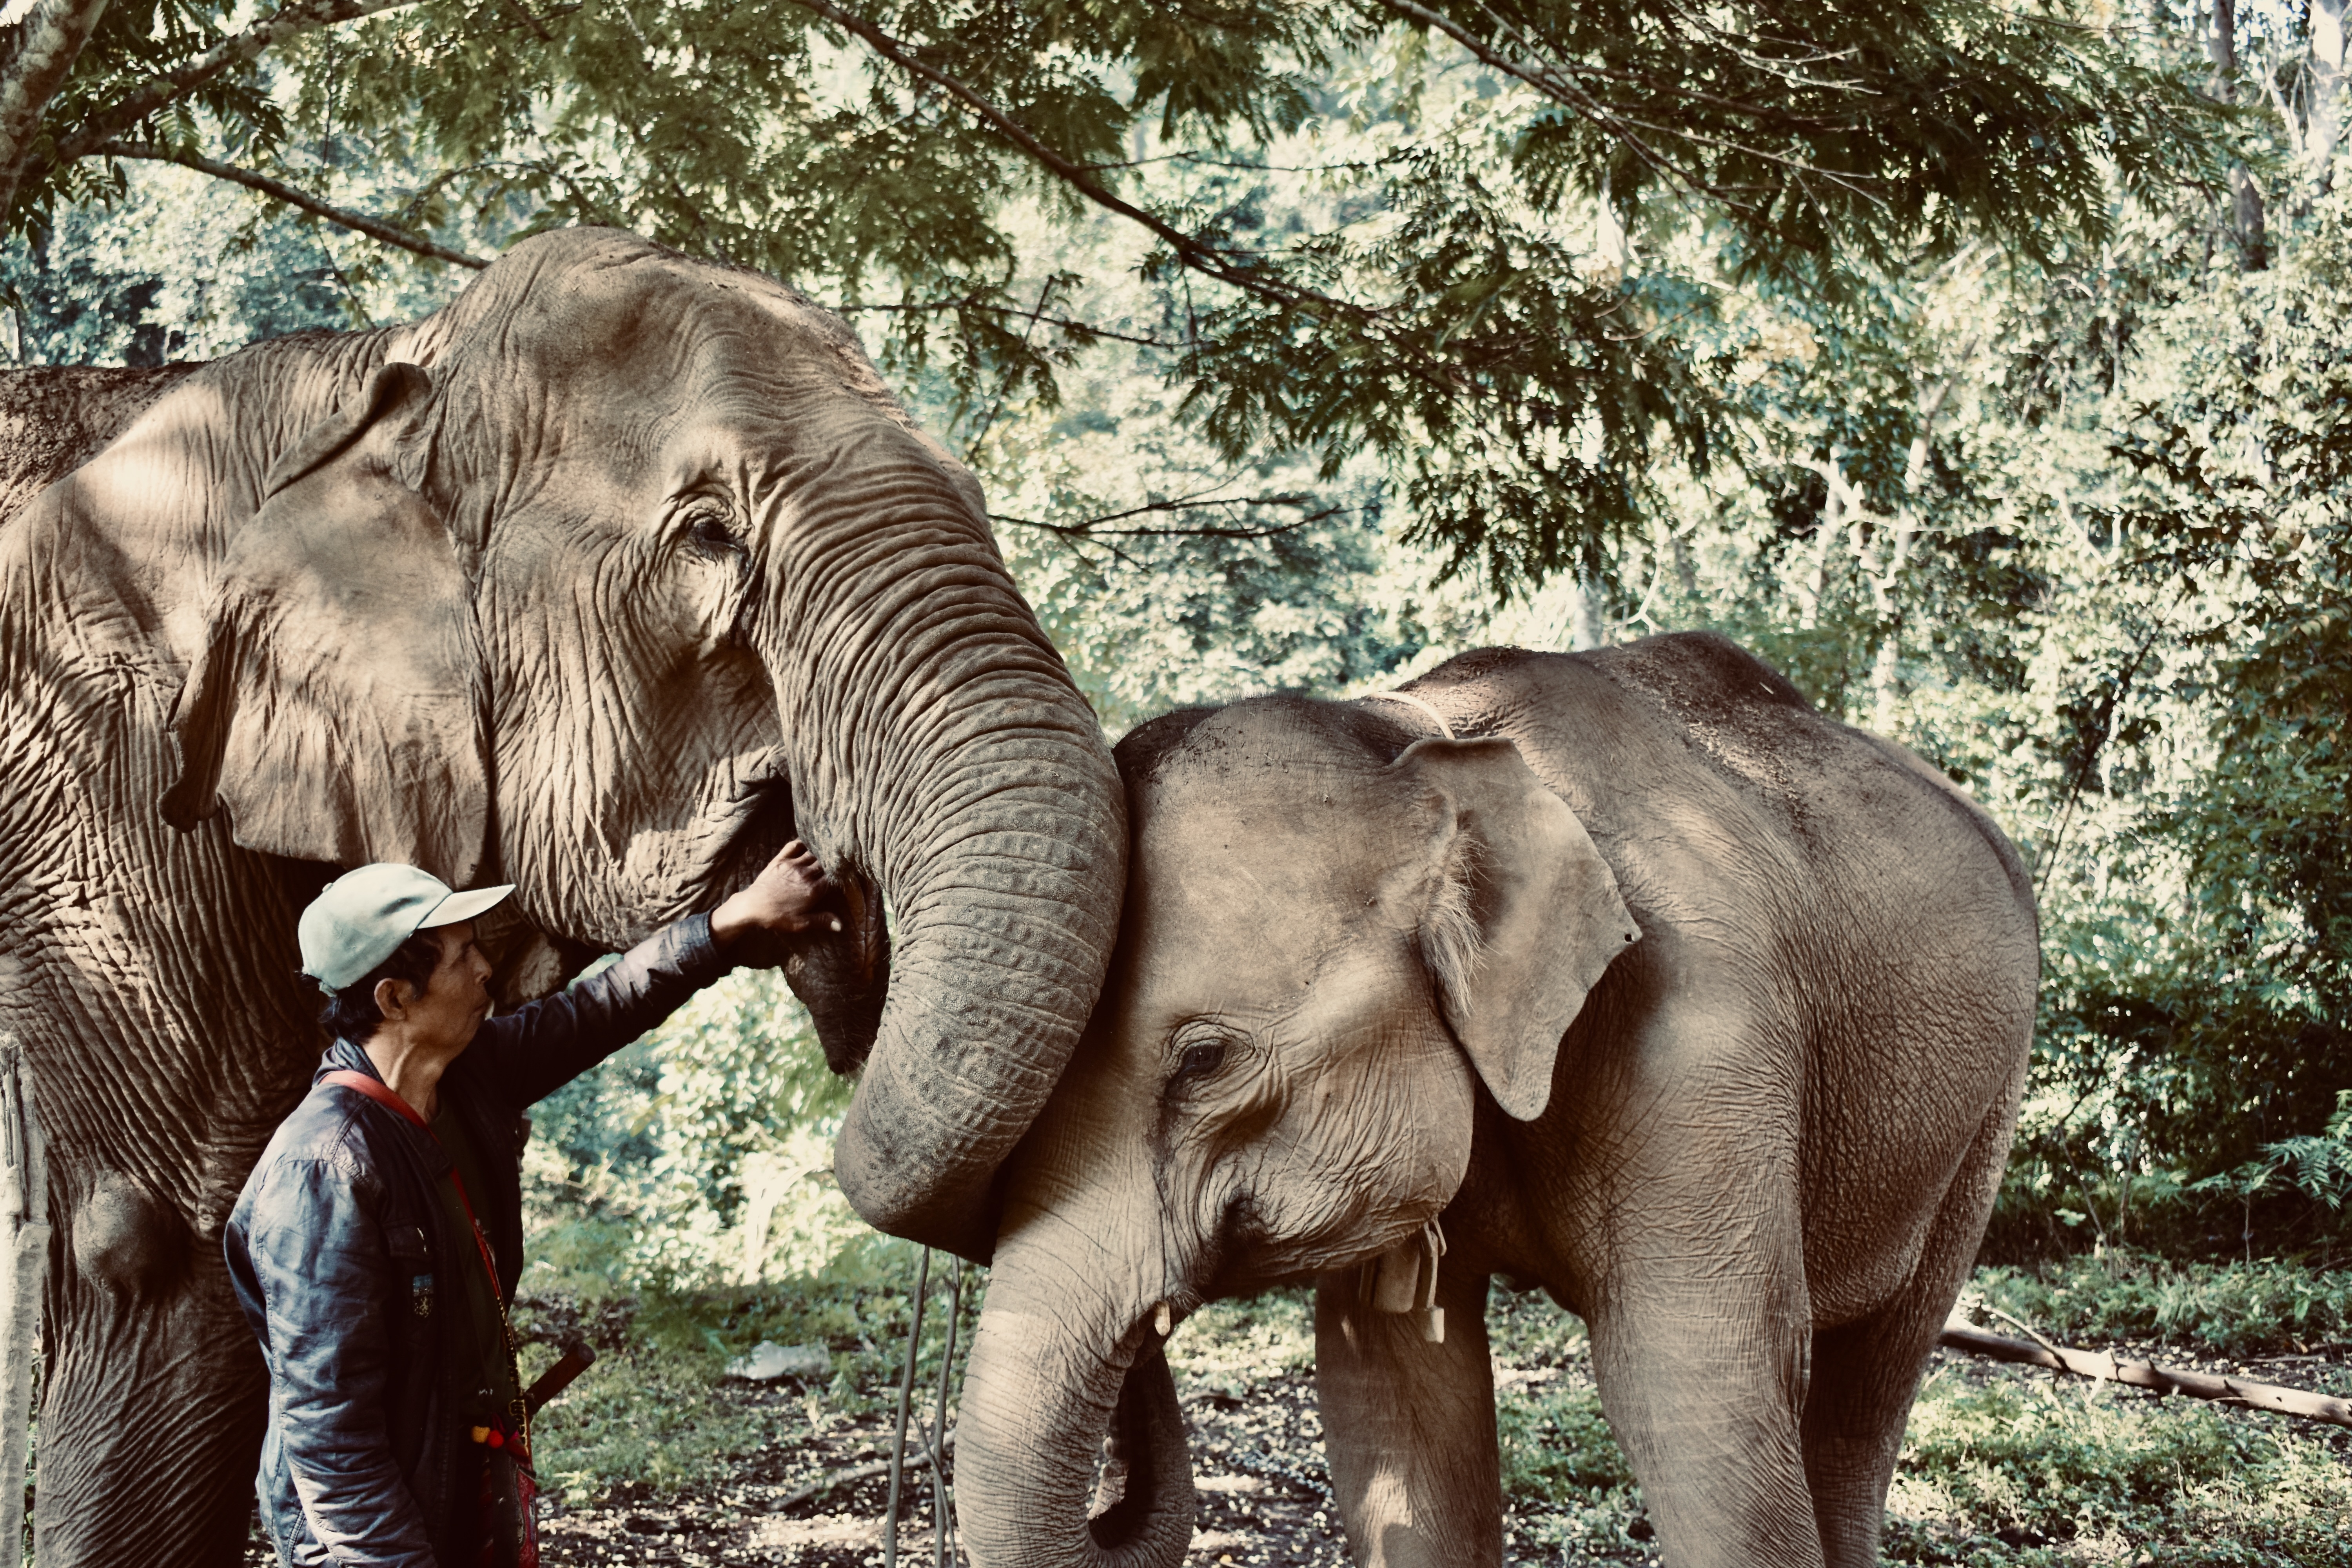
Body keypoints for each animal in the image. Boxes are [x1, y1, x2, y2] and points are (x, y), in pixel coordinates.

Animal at [953, 634, 2040, 1568]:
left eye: (1206, 1060)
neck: (1427, 748)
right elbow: (1399, 1394)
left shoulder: (1707, 1032)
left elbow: (1698, 1389)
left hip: (1990, 1102)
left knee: (1870, 1383)